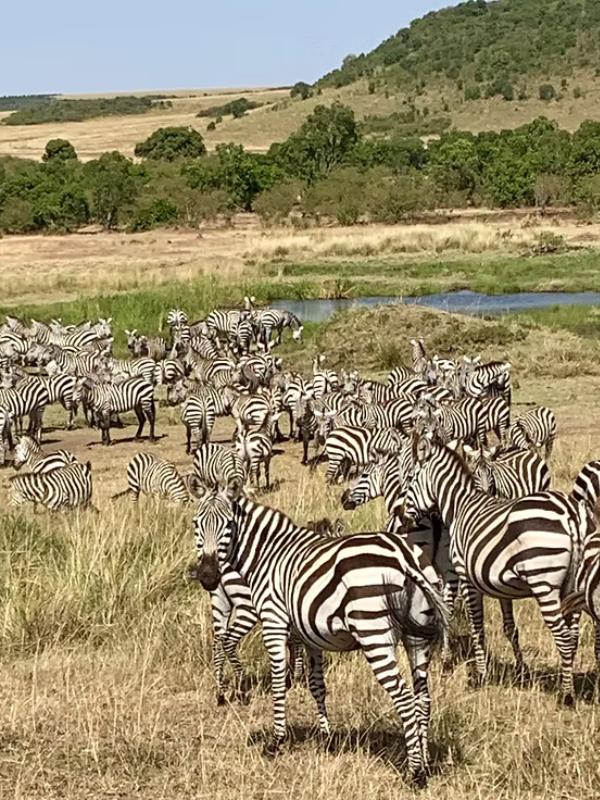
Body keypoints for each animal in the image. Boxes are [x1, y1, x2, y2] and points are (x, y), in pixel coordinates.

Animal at [192, 490, 448, 785]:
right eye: (196, 524)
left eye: (229, 526)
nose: (208, 576)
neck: (268, 555)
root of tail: (404, 556)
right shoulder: (310, 634)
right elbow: (317, 686)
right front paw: (327, 739)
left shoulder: (273, 620)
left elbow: (278, 682)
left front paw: (276, 741)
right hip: (416, 636)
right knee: (422, 698)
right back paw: (425, 763)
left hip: (373, 633)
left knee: (405, 698)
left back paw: (414, 773)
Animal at [403, 438, 593, 703]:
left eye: (411, 478)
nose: (404, 515)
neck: (460, 506)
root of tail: (570, 513)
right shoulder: (502, 586)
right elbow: (510, 628)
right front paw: (521, 671)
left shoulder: (465, 577)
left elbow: (475, 626)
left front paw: (478, 675)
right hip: (573, 584)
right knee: (573, 636)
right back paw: (569, 685)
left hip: (544, 583)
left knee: (564, 638)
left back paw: (566, 696)